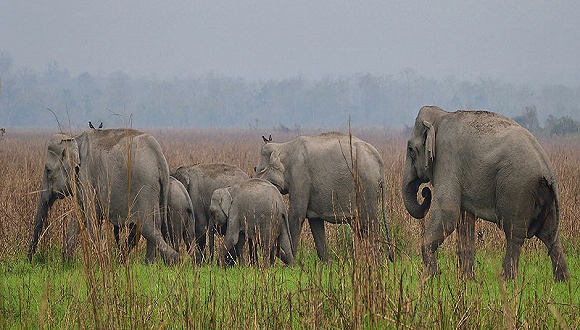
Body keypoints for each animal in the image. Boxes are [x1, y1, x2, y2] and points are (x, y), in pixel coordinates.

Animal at [28, 127, 178, 264]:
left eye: (48, 171)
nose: (29, 260)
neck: (73, 138)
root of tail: (160, 158)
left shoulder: (87, 177)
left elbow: (92, 218)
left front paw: (103, 262)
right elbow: (79, 216)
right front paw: (67, 264)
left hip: (144, 186)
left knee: (147, 226)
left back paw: (173, 260)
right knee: (153, 225)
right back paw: (148, 264)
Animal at [253, 131, 392, 262]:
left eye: (258, 170)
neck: (284, 146)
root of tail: (380, 163)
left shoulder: (300, 175)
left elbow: (296, 216)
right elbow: (315, 221)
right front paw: (326, 263)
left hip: (366, 187)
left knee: (370, 223)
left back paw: (375, 261)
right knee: (360, 226)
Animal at [402, 106, 568, 282]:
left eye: (411, 150)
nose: (425, 192)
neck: (441, 115)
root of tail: (547, 170)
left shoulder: (447, 158)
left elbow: (448, 213)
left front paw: (432, 275)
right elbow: (464, 220)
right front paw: (467, 280)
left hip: (517, 187)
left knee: (514, 233)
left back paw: (507, 279)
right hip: (542, 195)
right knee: (550, 235)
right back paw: (562, 282)